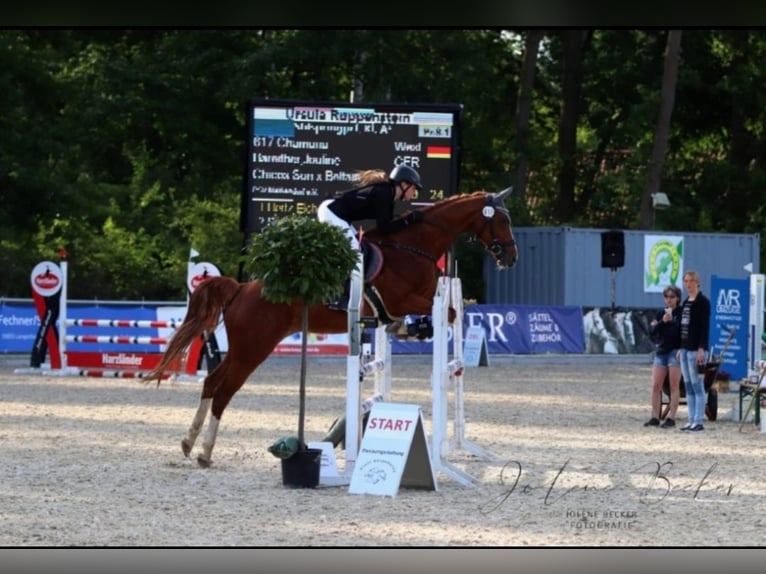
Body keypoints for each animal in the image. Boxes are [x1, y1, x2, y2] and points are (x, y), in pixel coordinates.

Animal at [147, 189, 520, 468]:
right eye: (501, 220)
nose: (511, 258)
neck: (415, 246)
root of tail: (242, 289)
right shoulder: (404, 299)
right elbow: (451, 312)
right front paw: (415, 328)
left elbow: (447, 314)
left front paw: (407, 329)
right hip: (253, 348)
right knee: (224, 390)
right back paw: (205, 451)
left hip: (244, 348)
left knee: (211, 382)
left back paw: (189, 442)